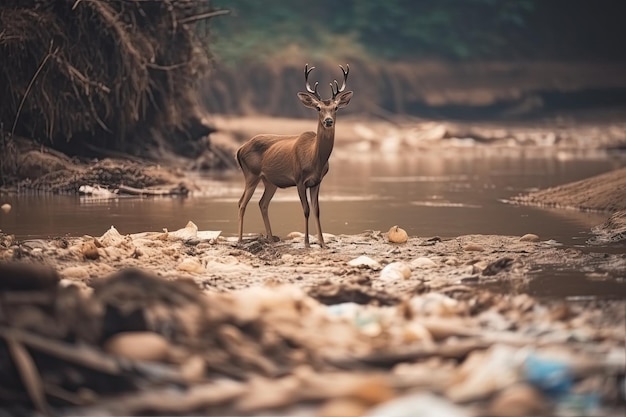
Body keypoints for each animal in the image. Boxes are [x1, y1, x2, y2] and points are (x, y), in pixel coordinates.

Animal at [234, 63, 352, 247]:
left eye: (336, 108)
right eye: (318, 108)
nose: (328, 121)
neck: (314, 158)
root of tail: (239, 149)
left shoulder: (317, 181)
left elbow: (317, 210)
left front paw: (322, 243)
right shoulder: (299, 179)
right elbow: (306, 210)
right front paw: (307, 242)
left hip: (269, 181)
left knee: (262, 203)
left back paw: (270, 238)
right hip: (251, 174)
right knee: (241, 203)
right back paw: (239, 240)